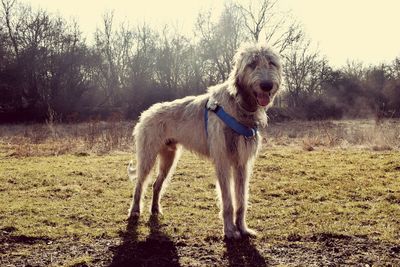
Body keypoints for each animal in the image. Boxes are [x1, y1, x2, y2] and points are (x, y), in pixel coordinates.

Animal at [127, 44, 282, 241]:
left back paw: (155, 209)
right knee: (139, 183)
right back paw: (134, 211)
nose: (267, 85)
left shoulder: (242, 163)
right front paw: (230, 230)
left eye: (271, 62)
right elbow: (228, 201)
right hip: (148, 155)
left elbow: (241, 200)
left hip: (169, 157)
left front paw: (243, 228)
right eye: (252, 64)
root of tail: (146, 113)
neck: (238, 104)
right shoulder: (222, 160)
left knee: (156, 184)